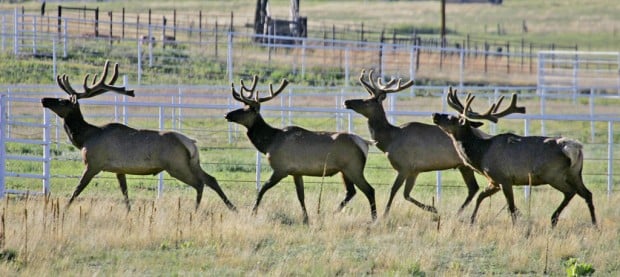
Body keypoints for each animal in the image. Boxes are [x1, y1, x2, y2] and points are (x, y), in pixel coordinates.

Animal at [40, 61, 236, 211]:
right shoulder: (118, 169)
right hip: (192, 163)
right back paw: (233, 207)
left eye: (63, 101)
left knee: (199, 183)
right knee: (211, 179)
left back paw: (195, 210)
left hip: (176, 165)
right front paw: (129, 212)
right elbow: (125, 193)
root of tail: (191, 143)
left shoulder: (93, 164)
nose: (44, 99)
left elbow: (77, 189)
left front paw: (64, 209)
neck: (84, 138)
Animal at [225, 75, 376, 224]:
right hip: (344, 170)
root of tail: (365, 143)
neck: (268, 143)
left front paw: (253, 213)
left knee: (369, 190)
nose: (227, 114)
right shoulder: (296, 172)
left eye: (246, 110)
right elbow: (301, 196)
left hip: (354, 168)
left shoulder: (281, 169)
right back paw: (331, 213)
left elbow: (262, 189)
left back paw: (374, 218)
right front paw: (306, 219)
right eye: (243, 106)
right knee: (351, 191)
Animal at [346, 69, 482, 216]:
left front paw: (385, 214)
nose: (347, 101)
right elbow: (406, 194)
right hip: (463, 166)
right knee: (473, 188)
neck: (388, 141)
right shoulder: (414, 170)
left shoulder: (405, 166)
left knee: (475, 187)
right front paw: (432, 208)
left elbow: (394, 190)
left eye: (367, 101)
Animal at [432, 87, 596, 225]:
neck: (481, 155)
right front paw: (472, 221)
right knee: (587, 194)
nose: (435, 114)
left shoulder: (504, 178)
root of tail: (574, 147)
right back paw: (594, 224)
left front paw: (516, 226)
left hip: (552, 174)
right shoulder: (494, 181)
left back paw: (554, 218)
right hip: (575, 173)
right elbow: (481, 197)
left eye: (453, 119)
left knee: (570, 192)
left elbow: (510, 207)